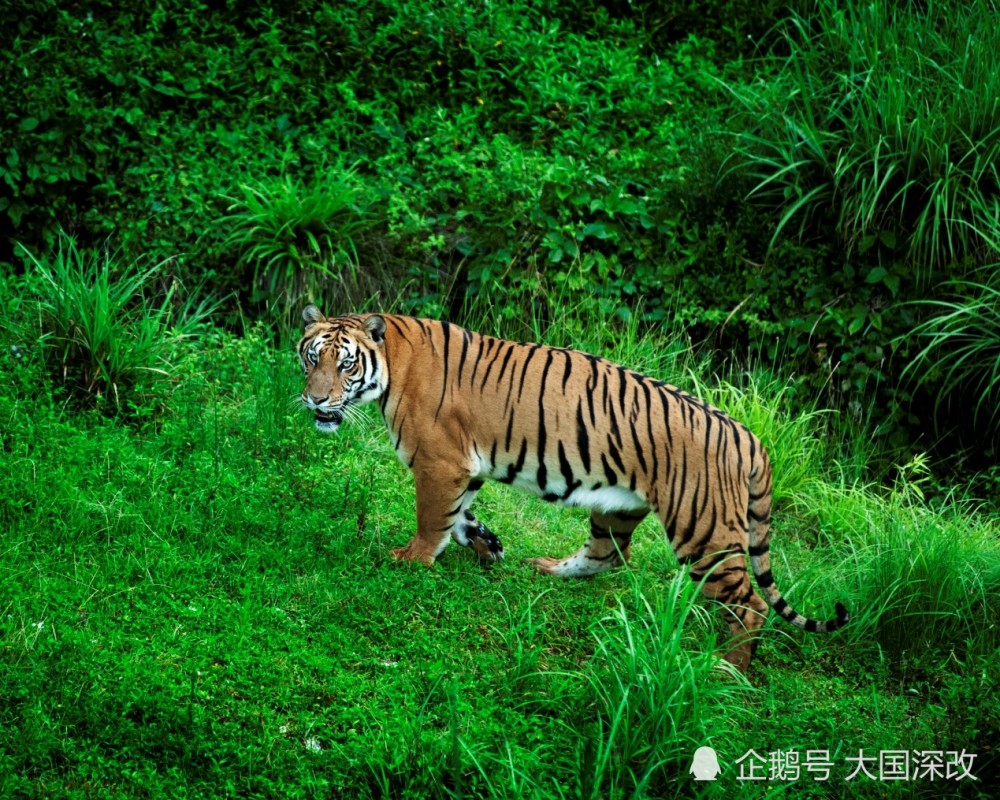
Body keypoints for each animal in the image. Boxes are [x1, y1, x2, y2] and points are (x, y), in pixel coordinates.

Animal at [296, 304, 844, 668]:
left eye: (345, 364)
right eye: (310, 358)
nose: (315, 401)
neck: (391, 365)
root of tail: (750, 437)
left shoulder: (440, 462)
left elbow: (433, 519)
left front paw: (411, 561)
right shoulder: (465, 467)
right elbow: (461, 515)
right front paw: (487, 544)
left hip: (702, 531)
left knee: (750, 605)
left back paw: (726, 670)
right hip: (617, 507)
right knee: (607, 555)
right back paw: (549, 568)